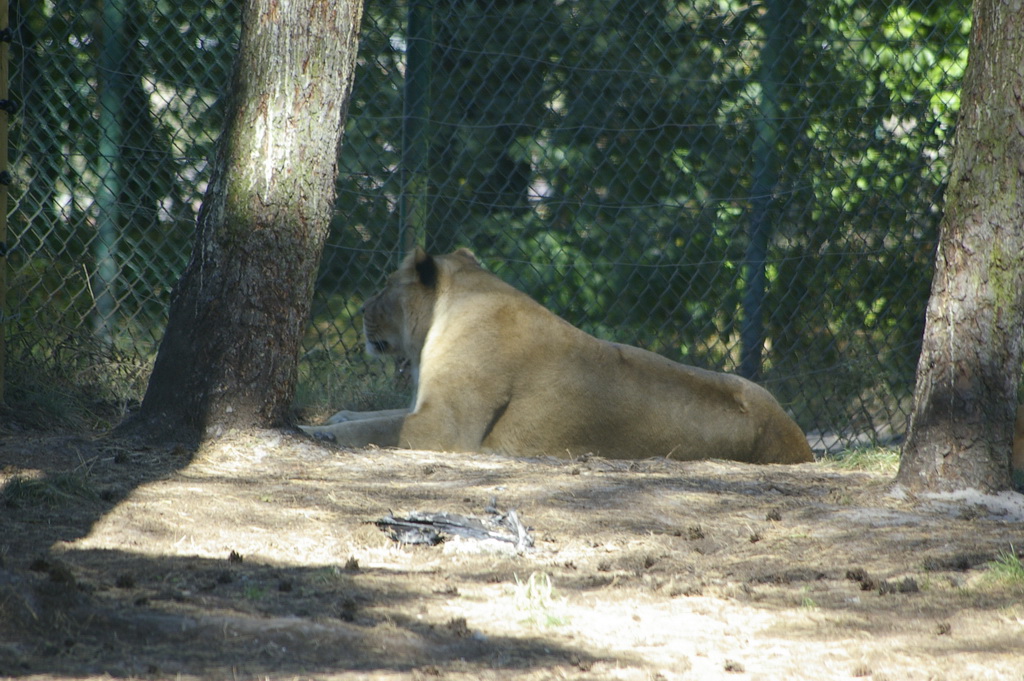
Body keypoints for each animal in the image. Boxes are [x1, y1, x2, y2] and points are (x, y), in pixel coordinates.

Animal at [300, 248, 814, 464]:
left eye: (385, 284)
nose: (361, 310)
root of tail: (803, 445)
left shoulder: (444, 426)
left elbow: (376, 428)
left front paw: (315, 431)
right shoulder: (422, 408)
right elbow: (367, 415)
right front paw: (332, 418)